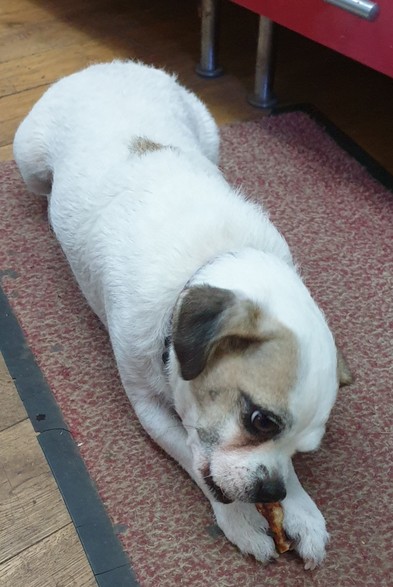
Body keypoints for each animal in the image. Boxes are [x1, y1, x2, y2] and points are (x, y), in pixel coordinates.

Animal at [13, 62, 350, 572]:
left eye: (303, 449)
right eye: (260, 421)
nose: (271, 490)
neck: (210, 262)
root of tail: (107, 66)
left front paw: (301, 508)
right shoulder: (148, 406)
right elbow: (194, 457)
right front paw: (241, 521)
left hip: (210, 136)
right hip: (28, 160)